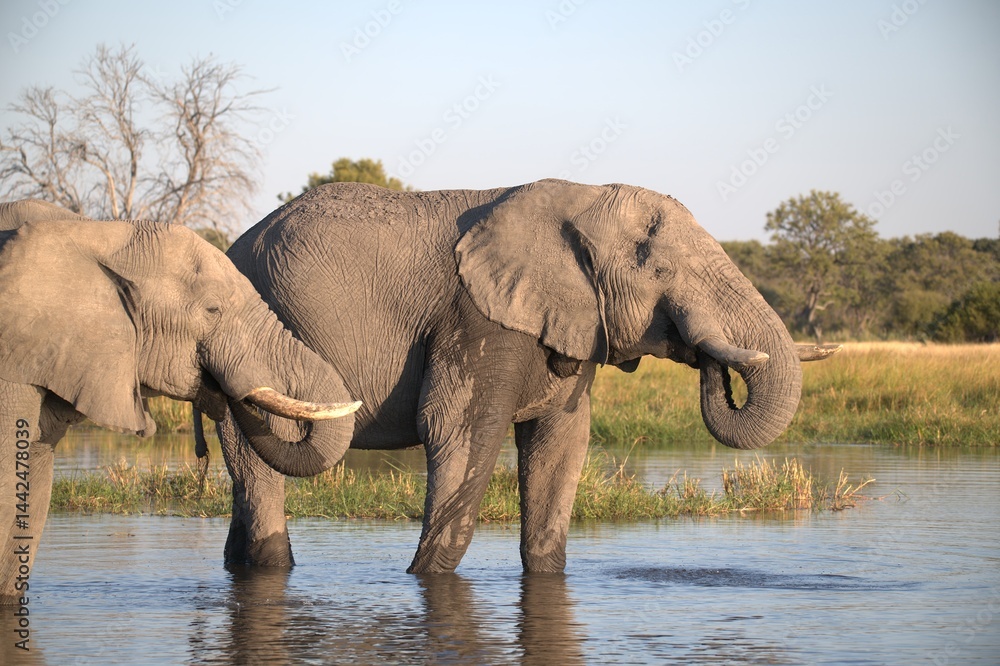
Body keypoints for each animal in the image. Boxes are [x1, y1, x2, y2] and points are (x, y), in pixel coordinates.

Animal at [219, 179, 837, 575]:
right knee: (258, 468)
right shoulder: (477, 317)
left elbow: (560, 448)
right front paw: (422, 577)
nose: (714, 365)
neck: (582, 202)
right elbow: (459, 434)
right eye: (661, 271)